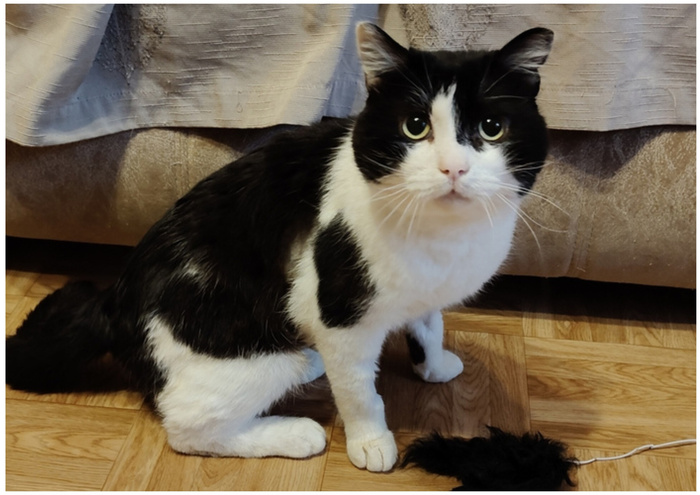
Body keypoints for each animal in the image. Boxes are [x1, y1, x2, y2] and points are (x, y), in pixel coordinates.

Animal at [6, 23, 553, 472]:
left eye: (492, 128)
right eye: (414, 126)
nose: (453, 169)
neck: (443, 238)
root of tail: (114, 299)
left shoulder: (420, 292)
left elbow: (429, 325)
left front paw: (435, 366)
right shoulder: (338, 314)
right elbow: (361, 391)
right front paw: (371, 442)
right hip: (248, 350)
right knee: (187, 428)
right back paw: (294, 432)